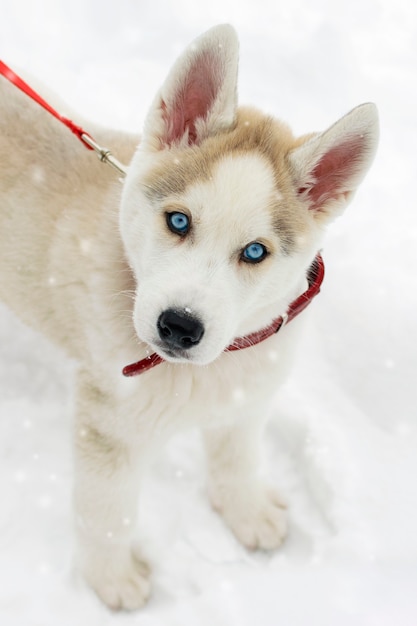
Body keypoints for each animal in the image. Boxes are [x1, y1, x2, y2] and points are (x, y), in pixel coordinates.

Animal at [0, 25, 376, 608]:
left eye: (255, 252)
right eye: (179, 221)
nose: (179, 326)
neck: (206, 372)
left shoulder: (247, 394)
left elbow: (237, 457)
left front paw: (247, 510)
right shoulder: (109, 424)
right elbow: (106, 510)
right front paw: (112, 580)